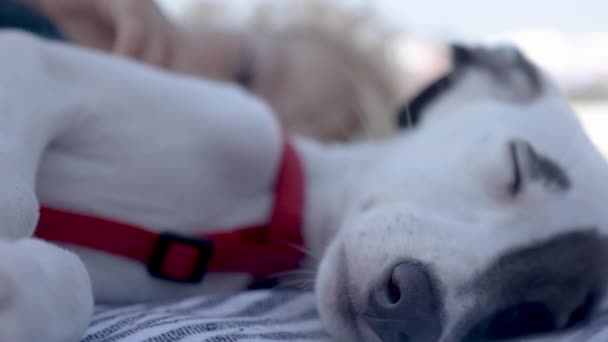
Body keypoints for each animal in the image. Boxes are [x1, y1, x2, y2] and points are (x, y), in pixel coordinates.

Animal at [1, 30, 608, 342]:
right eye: (518, 166)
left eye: (528, 315)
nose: (412, 315)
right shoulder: (32, 57)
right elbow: (20, 205)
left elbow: (73, 277)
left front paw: (21, 289)